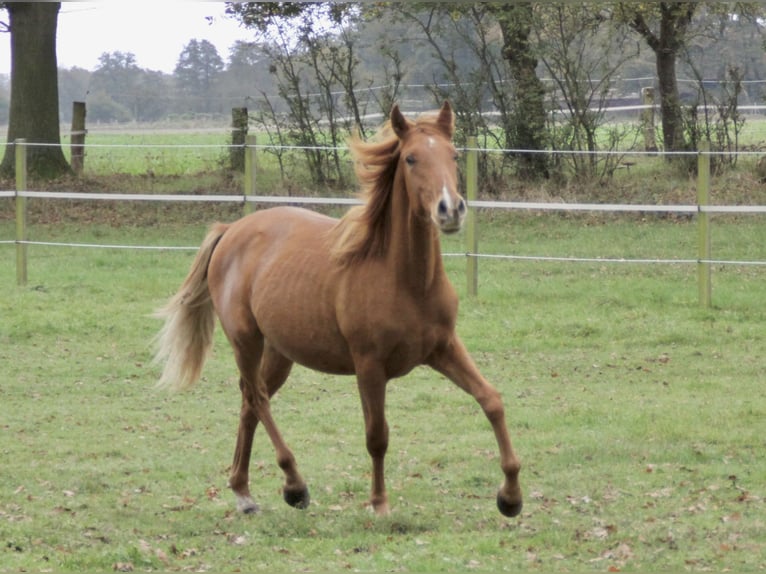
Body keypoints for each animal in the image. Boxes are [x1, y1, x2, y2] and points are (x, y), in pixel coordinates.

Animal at [157, 104, 528, 520]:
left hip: (280, 351)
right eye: (411, 158)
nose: (450, 210)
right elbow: (377, 435)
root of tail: (232, 229)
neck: (405, 280)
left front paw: (511, 496)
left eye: (453, 155)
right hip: (245, 340)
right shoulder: (369, 366)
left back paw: (244, 492)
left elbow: (492, 400)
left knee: (249, 401)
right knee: (258, 398)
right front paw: (379, 503)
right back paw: (294, 485)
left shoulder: (444, 348)